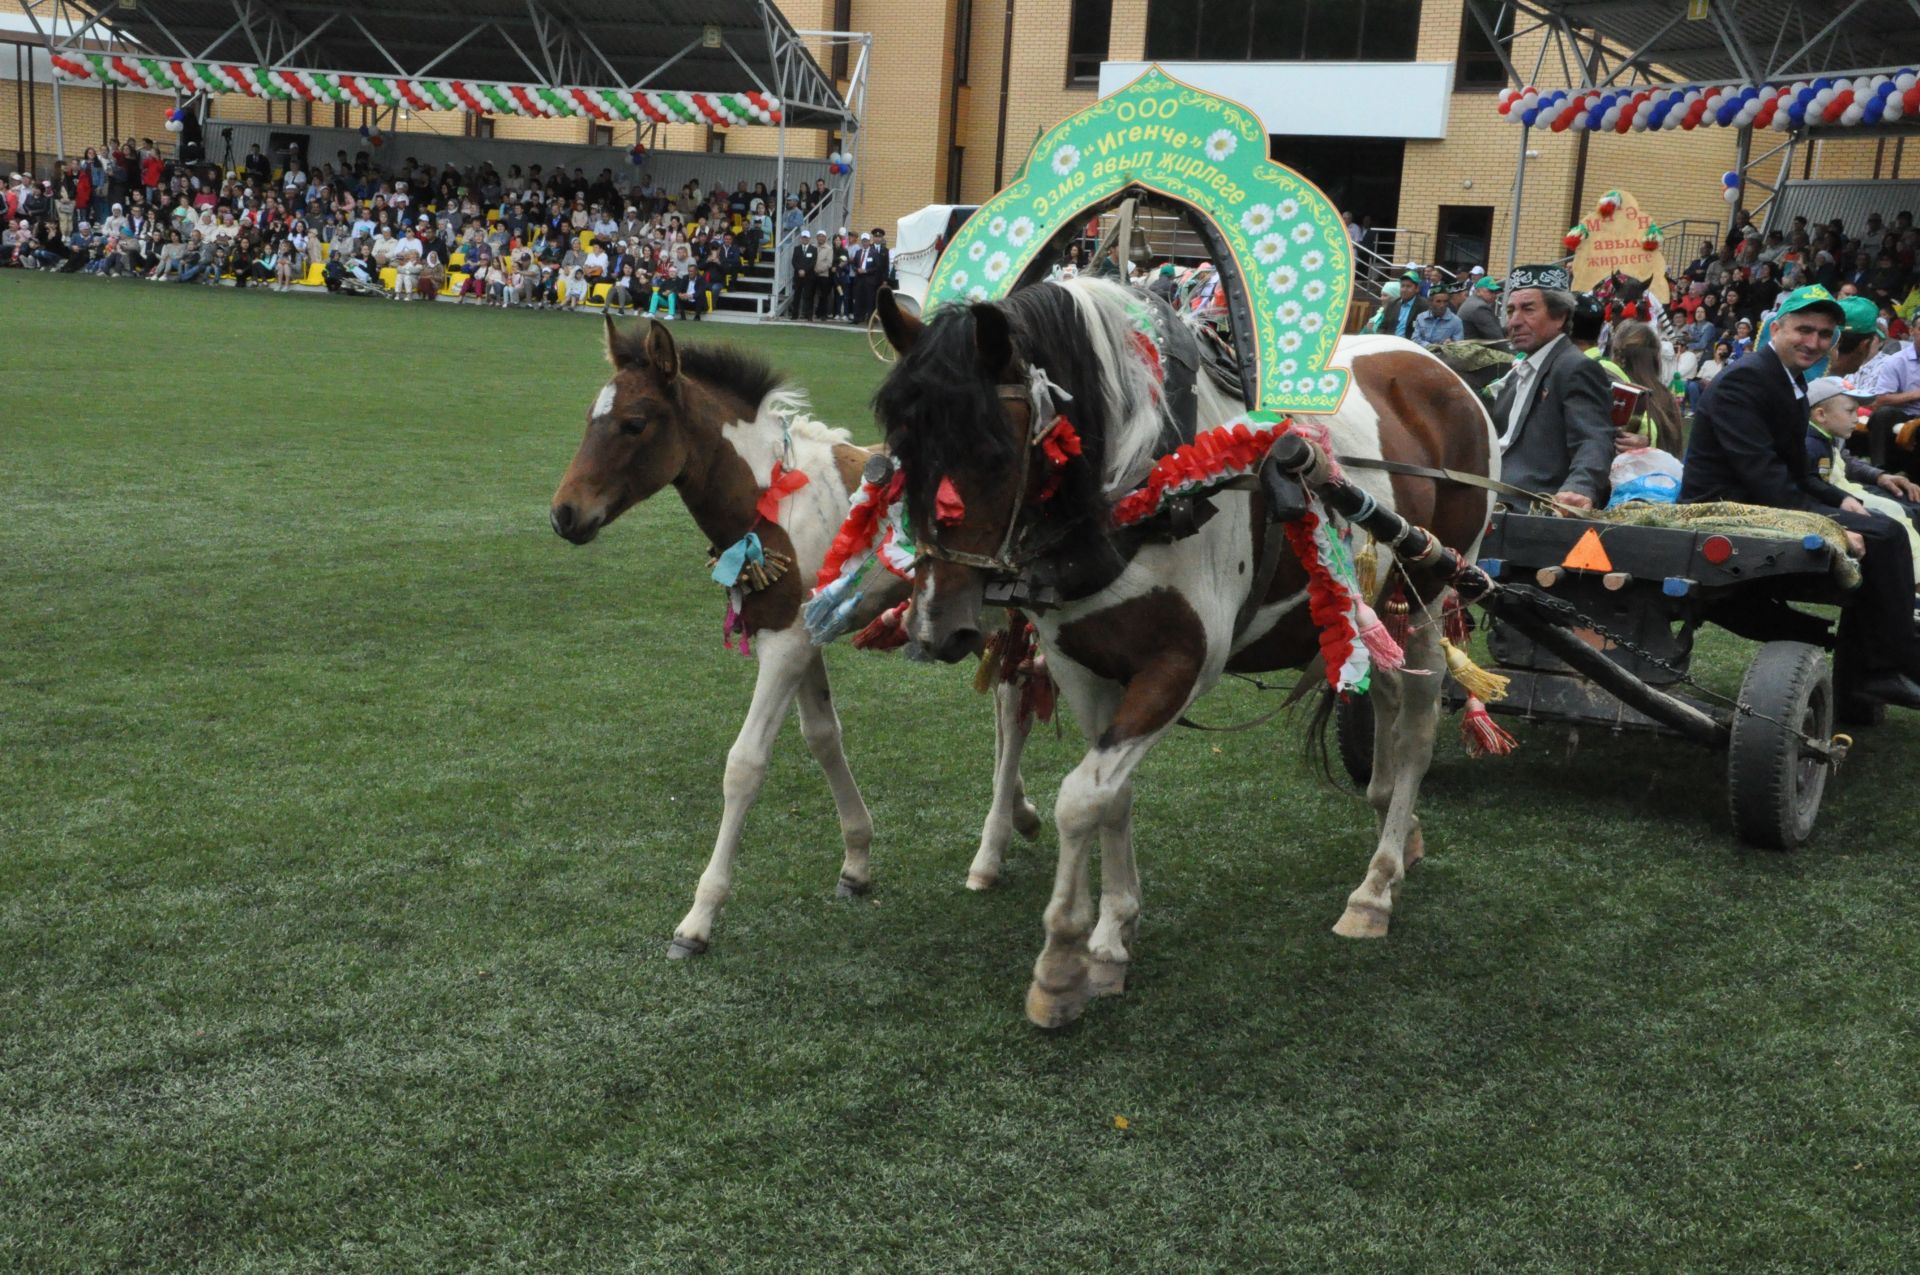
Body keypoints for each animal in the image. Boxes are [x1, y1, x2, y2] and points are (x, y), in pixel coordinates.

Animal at [549, 318, 1044, 956]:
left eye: (634, 423)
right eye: (592, 416)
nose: (564, 514)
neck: (774, 499)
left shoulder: (785, 646)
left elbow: (745, 764)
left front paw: (698, 919)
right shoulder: (797, 636)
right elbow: (822, 737)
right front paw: (857, 862)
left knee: (1015, 704)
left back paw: (990, 852)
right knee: (1009, 709)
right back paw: (1022, 815)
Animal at [875, 278, 1497, 1029]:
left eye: (995, 453)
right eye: (901, 451)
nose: (938, 626)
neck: (1146, 482)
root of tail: (1436, 366)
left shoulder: (1182, 665)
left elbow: (1081, 797)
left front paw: (1061, 964)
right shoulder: (1082, 665)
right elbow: (1111, 793)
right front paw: (1111, 939)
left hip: (1428, 589)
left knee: (1418, 727)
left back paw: (1374, 889)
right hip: (1373, 603)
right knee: (1386, 700)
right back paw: (1396, 833)